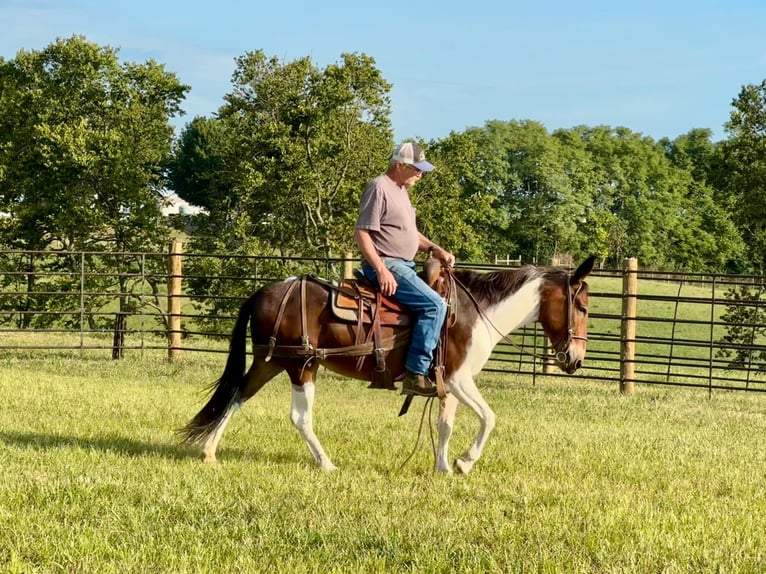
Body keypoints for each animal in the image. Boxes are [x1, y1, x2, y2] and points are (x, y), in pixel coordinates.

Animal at [182, 258, 600, 474]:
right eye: (581, 307)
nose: (575, 359)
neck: (473, 313)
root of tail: (265, 291)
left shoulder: (448, 384)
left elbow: (445, 425)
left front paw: (443, 468)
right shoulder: (460, 379)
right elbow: (489, 418)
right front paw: (464, 463)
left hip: (270, 361)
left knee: (237, 395)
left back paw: (210, 452)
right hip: (302, 366)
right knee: (299, 417)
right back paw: (327, 464)